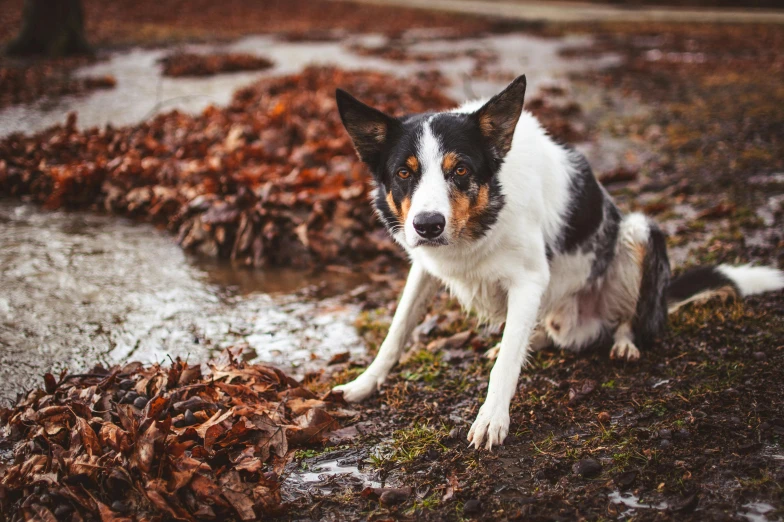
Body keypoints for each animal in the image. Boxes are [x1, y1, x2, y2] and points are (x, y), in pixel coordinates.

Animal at [330, 75, 784, 448]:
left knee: (629, 320)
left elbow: (506, 368)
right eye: (404, 174)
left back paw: (624, 342)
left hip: (638, 231)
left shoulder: (529, 280)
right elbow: (397, 330)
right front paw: (365, 382)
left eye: (459, 170)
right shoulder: (424, 269)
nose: (427, 226)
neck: (479, 222)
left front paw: (492, 418)